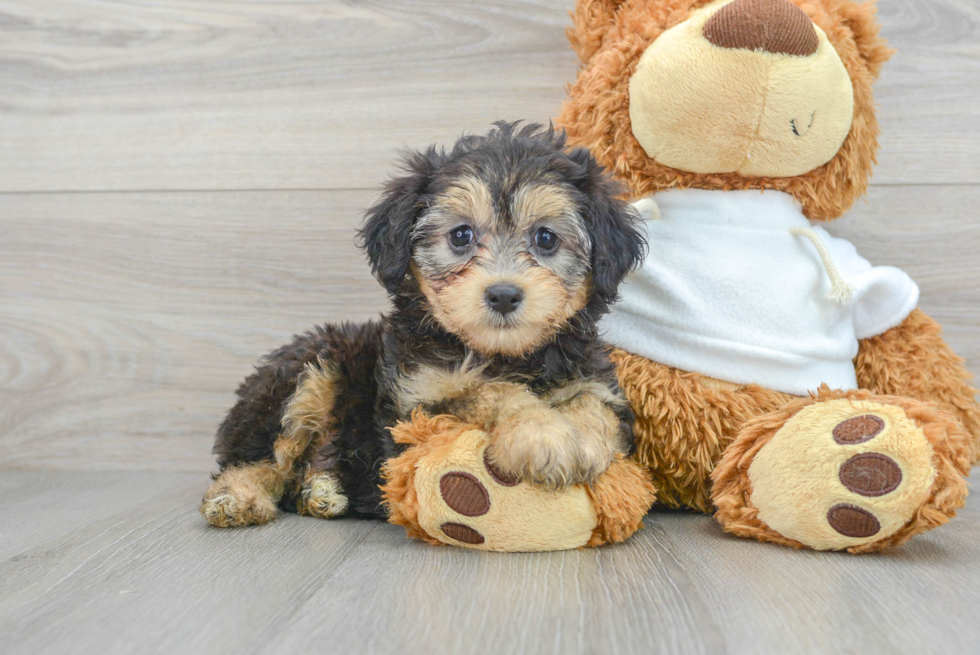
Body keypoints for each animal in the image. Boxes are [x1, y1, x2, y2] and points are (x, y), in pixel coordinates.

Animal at [201, 121, 644, 528]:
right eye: (461, 235)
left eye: (546, 239)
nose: (503, 295)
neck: (504, 355)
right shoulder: (418, 406)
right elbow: (488, 391)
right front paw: (540, 435)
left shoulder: (593, 379)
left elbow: (595, 406)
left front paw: (584, 442)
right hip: (307, 371)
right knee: (263, 455)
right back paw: (237, 497)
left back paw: (323, 488)